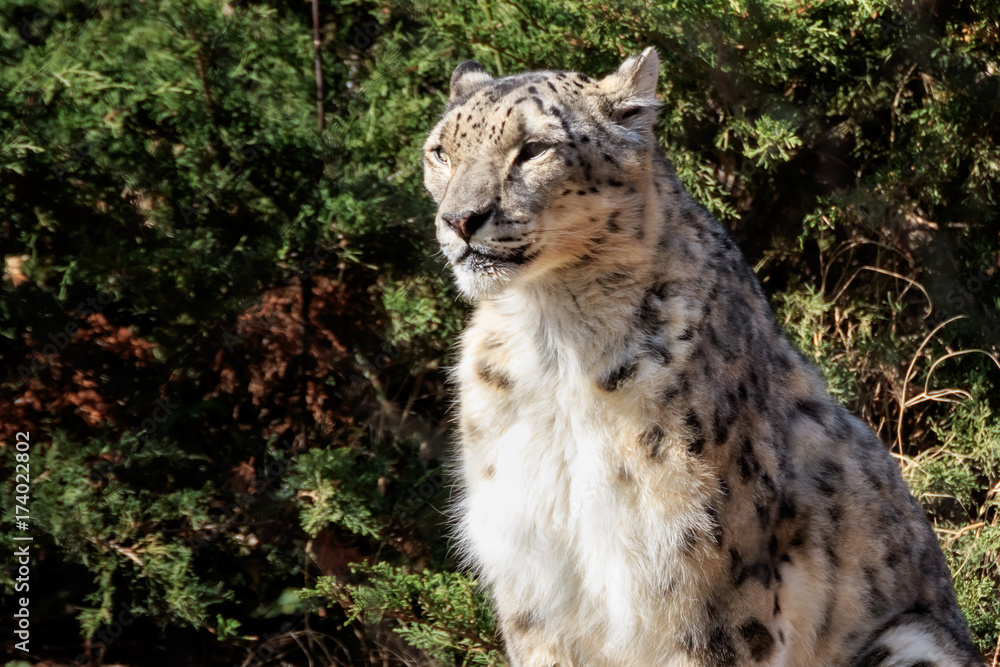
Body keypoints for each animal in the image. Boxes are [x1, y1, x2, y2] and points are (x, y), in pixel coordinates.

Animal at [421, 47, 983, 667]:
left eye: (534, 148)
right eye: (441, 151)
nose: (459, 219)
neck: (552, 343)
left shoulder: (704, 581)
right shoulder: (533, 580)